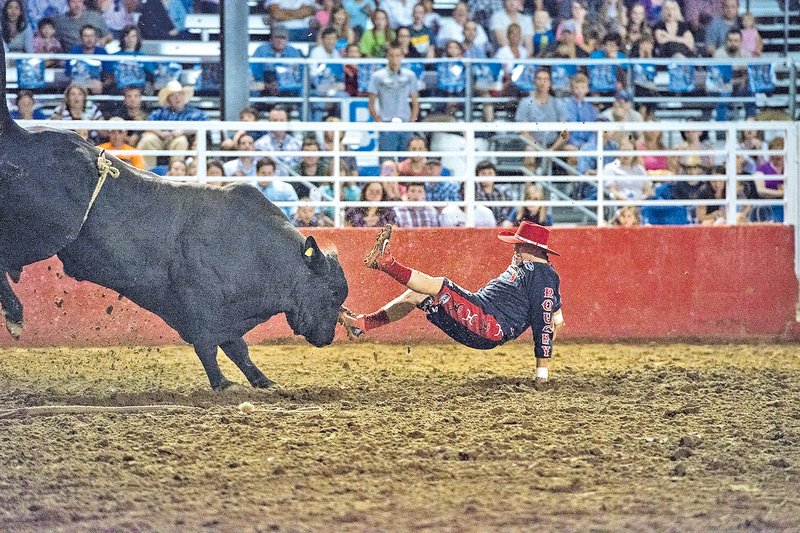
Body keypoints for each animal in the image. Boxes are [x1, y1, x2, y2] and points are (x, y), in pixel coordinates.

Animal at [0, 47, 350, 388]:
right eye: (333, 293)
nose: (328, 338)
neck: (257, 249)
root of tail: (19, 135)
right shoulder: (201, 309)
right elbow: (211, 346)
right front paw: (224, 384)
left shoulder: (226, 318)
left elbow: (237, 348)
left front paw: (262, 381)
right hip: (47, 234)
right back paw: (16, 316)